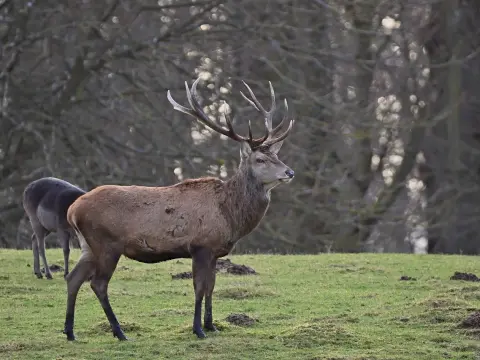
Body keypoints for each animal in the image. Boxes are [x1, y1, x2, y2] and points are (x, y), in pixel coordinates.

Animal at [62, 77, 294, 342]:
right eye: (260, 160)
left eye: (277, 156)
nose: (290, 172)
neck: (230, 215)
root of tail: (72, 209)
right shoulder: (200, 246)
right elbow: (199, 288)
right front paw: (198, 330)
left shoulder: (215, 252)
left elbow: (211, 287)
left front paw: (211, 326)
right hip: (106, 243)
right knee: (98, 283)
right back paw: (119, 332)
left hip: (87, 245)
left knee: (73, 278)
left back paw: (70, 332)